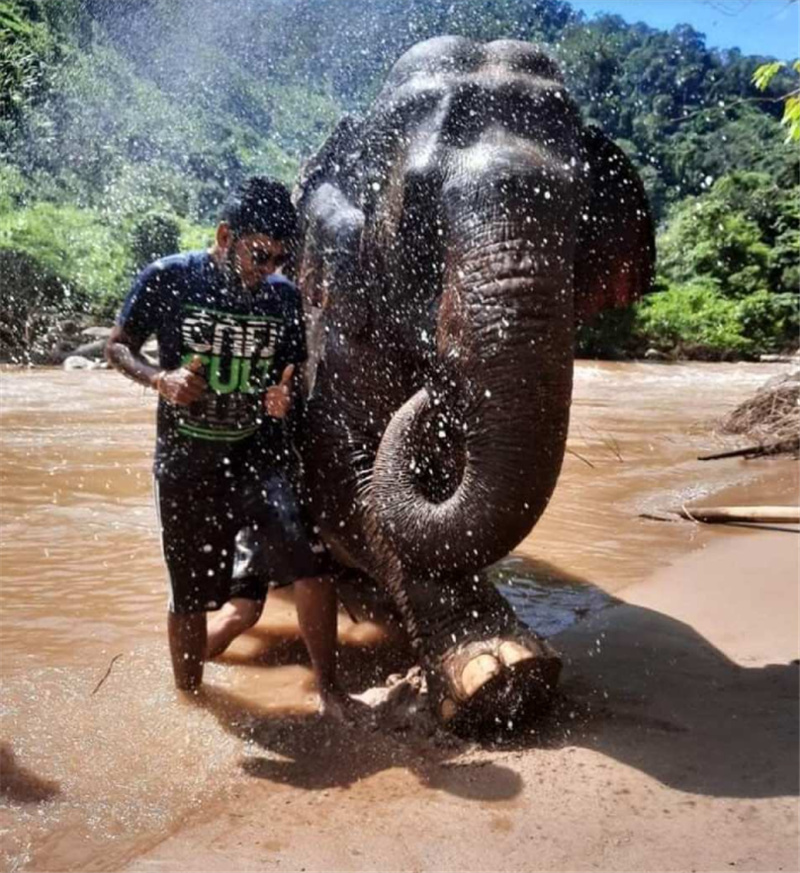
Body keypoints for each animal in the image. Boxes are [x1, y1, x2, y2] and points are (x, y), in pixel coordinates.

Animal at [290, 35, 652, 728]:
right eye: (418, 213)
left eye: (582, 217)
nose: (436, 385)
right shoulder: (331, 311)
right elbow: (342, 475)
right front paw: (501, 678)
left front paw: (514, 678)